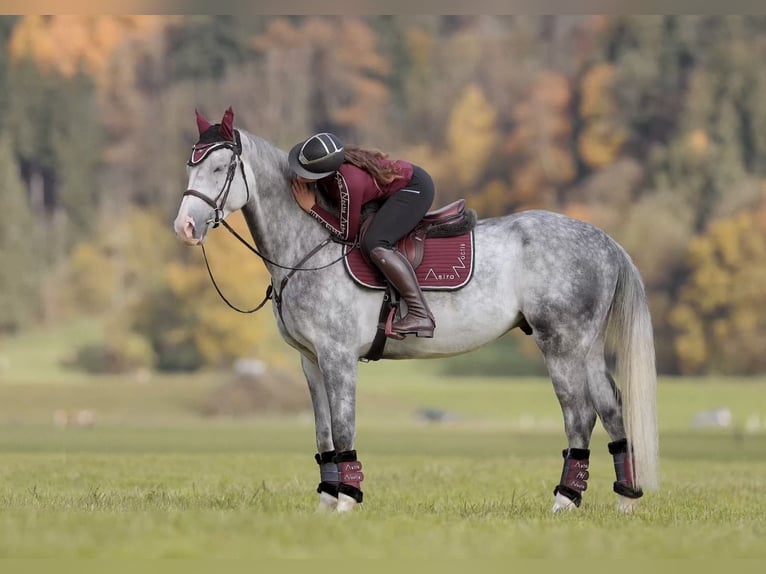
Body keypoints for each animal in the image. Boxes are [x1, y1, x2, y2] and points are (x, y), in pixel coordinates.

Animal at [173, 107, 659, 514]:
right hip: (586, 347)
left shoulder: (337, 356)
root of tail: (603, 239)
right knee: (612, 409)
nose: (185, 227)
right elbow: (324, 431)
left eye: (220, 168)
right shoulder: (310, 360)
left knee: (580, 414)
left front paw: (347, 500)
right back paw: (625, 500)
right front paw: (327, 502)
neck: (307, 247)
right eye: (191, 166)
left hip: (560, 344)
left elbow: (344, 427)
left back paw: (564, 501)